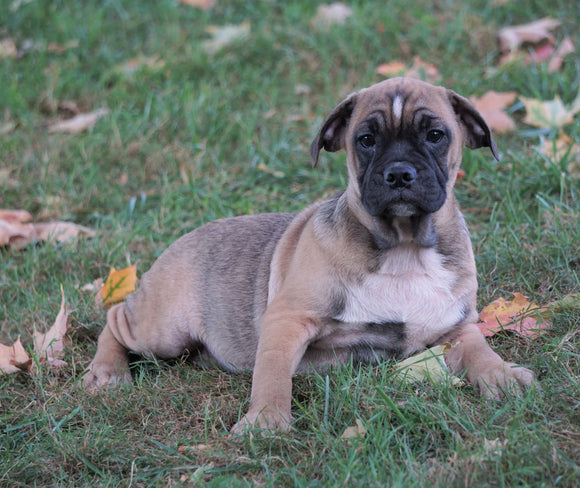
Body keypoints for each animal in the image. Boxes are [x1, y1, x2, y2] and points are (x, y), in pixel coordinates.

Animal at [82, 78, 536, 432]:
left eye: (435, 136)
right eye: (366, 141)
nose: (399, 174)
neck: (403, 246)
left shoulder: (456, 327)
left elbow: (480, 351)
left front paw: (502, 376)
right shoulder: (286, 321)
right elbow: (271, 375)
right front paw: (265, 421)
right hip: (165, 330)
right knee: (116, 319)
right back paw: (107, 372)